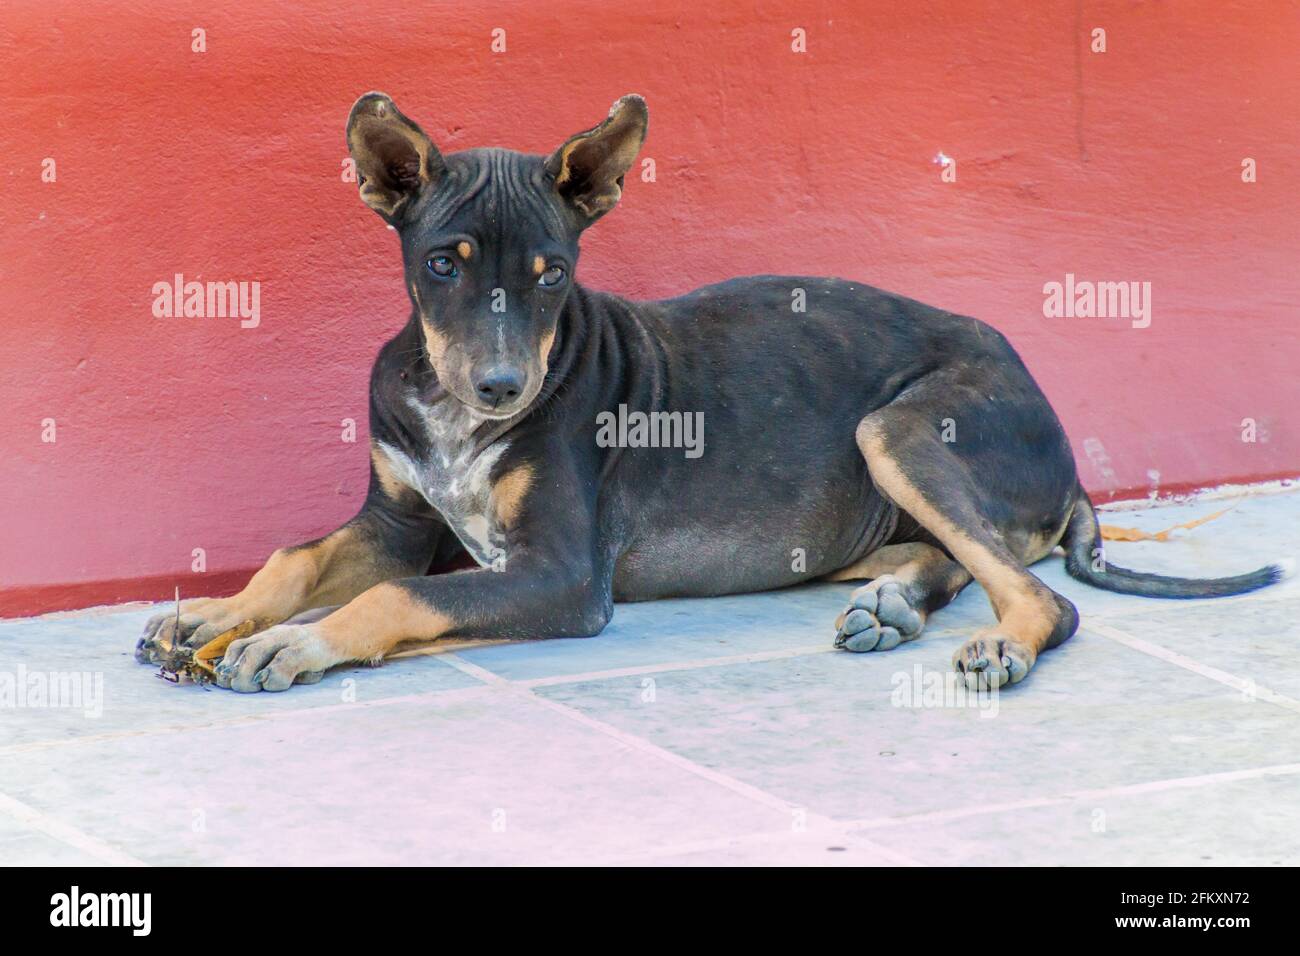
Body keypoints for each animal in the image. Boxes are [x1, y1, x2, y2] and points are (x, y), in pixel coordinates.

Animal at [134, 93, 1279, 697]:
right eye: (443, 263)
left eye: (553, 272)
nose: (502, 387)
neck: (457, 419)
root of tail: (1065, 446)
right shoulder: (397, 519)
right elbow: (298, 558)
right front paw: (216, 617)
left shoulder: (559, 575)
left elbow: (387, 599)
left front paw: (289, 643)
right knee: (954, 557)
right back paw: (890, 606)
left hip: (900, 423)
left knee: (1038, 593)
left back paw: (993, 639)